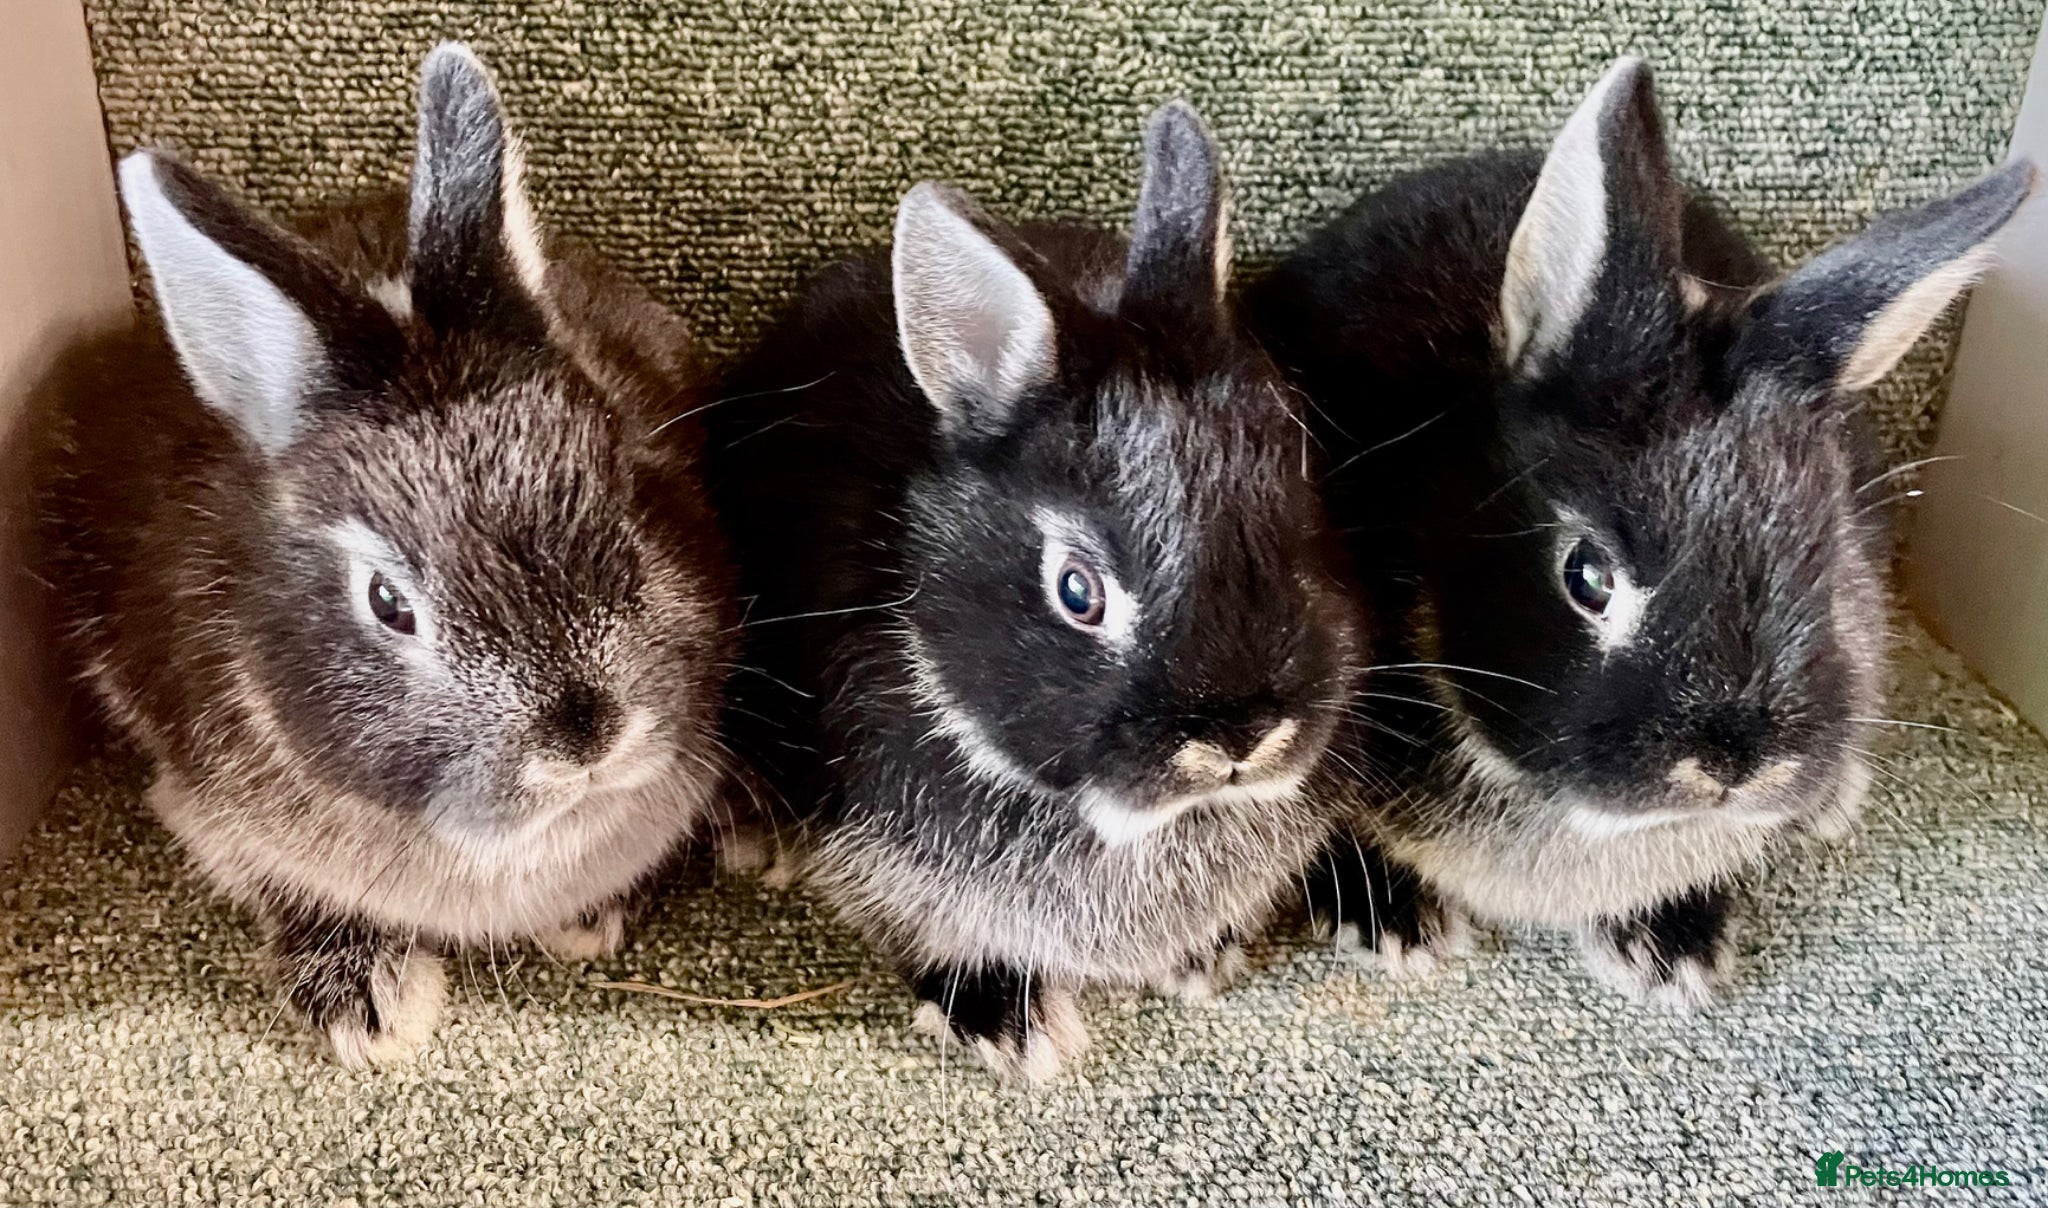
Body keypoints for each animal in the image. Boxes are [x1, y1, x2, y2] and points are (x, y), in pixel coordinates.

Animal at [37, 43, 735, 1065]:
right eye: (387, 602)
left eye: (627, 495)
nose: (587, 736)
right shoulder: (207, 807)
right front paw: (372, 1010)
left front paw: (591, 919)